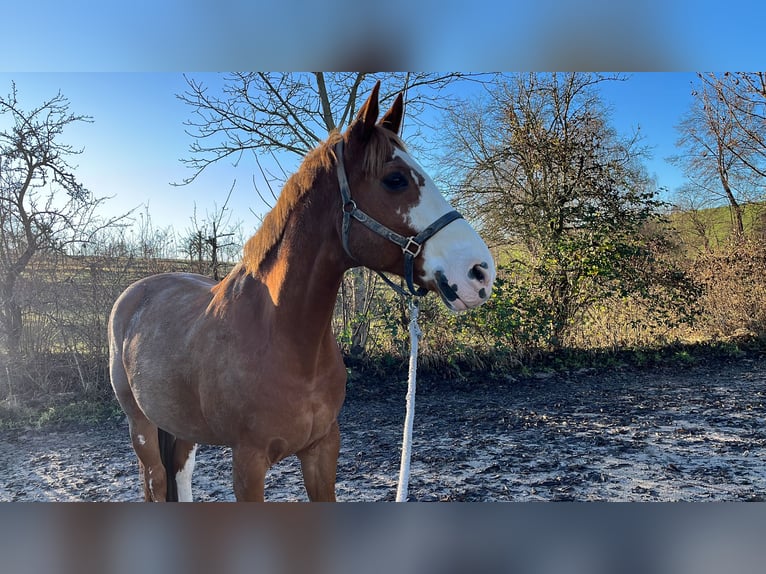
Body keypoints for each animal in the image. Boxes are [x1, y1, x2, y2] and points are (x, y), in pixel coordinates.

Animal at [108, 82, 498, 504]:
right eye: (395, 179)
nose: (480, 272)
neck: (284, 338)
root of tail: (134, 295)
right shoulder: (248, 461)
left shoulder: (322, 448)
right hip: (142, 426)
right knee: (156, 480)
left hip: (180, 427)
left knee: (179, 473)